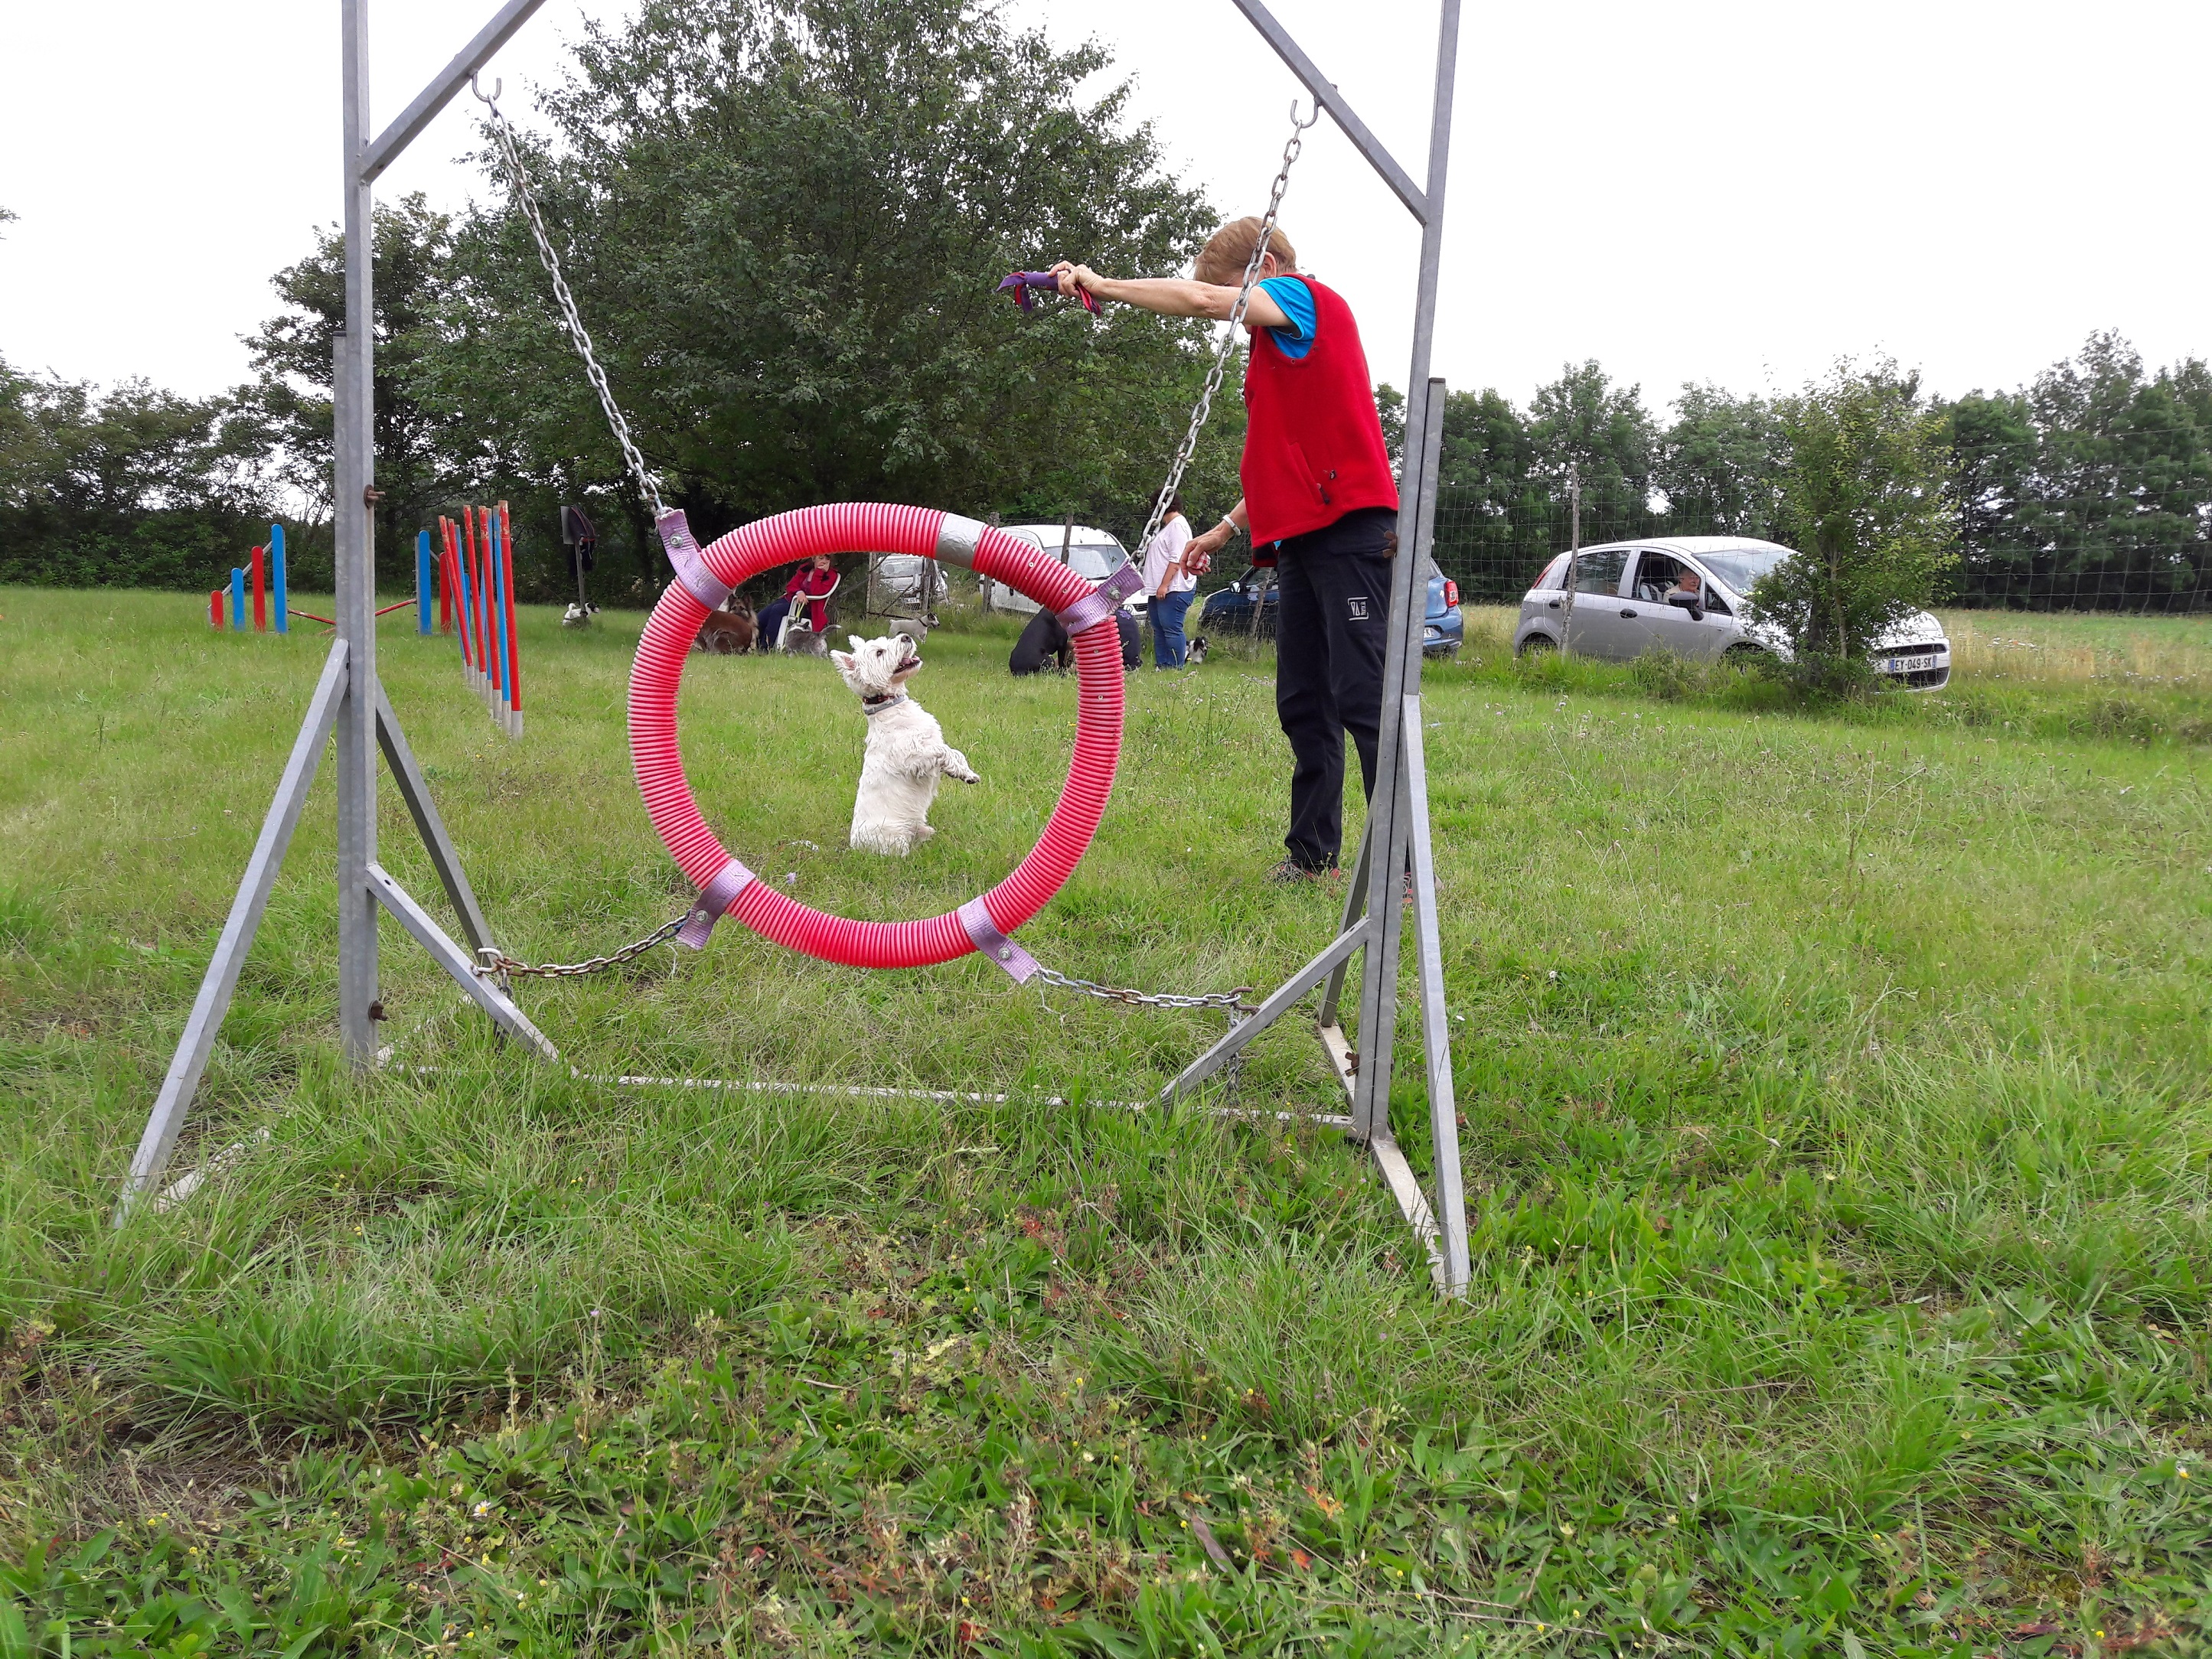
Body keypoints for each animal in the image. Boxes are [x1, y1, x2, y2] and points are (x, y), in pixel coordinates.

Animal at [831, 632, 977, 858]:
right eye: (879, 652)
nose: (906, 636)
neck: (891, 705)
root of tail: (854, 846)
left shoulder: (932, 742)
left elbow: (956, 752)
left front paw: (968, 773)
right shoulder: (913, 759)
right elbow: (943, 751)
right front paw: (959, 772)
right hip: (893, 837)